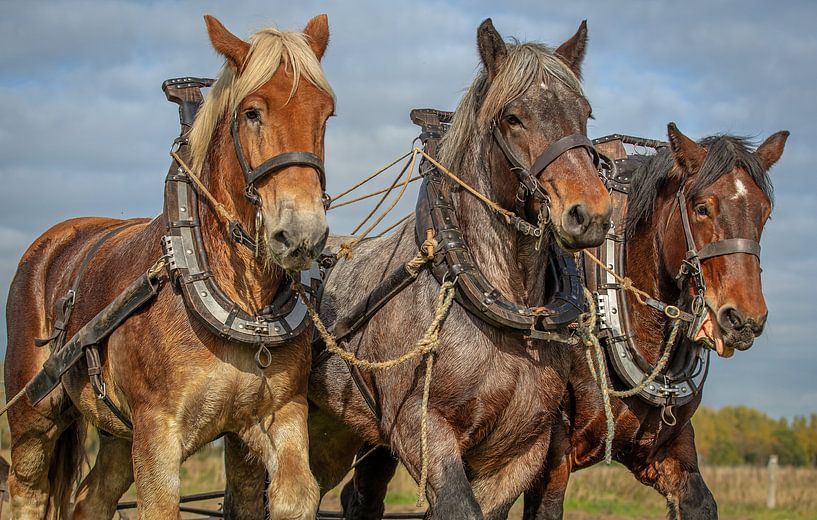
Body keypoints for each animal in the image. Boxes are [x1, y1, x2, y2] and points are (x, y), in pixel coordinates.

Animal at [4, 14, 334, 519]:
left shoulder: (276, 418)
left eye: (326, 113)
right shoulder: (157, 436)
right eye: (252, 112)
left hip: (118, 434)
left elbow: (291, 496)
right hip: (33, 418)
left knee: (90, 499)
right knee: (26, 491)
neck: (239, 299)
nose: (302, 234)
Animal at [522, 123, 788, 519]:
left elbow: (699, 502)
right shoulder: (548, 459)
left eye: (765, 214)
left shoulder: (665, 450)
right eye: (702, 208)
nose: (744, 318)